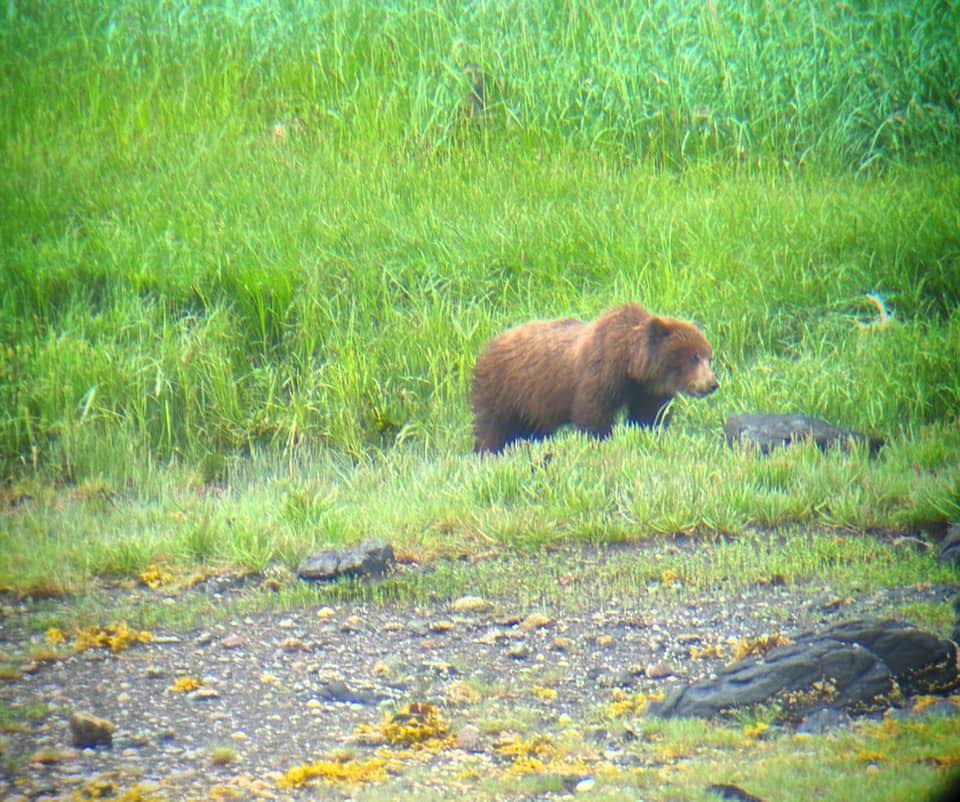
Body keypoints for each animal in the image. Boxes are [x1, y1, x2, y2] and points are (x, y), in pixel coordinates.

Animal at [471, 303, 718, 454]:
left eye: (709, 357)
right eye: (694, 357)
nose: (712, 384)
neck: (629, 365)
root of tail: (489, 344)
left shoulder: (648, 390)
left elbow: (649, 417)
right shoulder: (598, 376)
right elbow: (593, 415)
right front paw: (600, 441)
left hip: (532, 406)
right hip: (504, 388)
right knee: (493, 426)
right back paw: (488, 452)